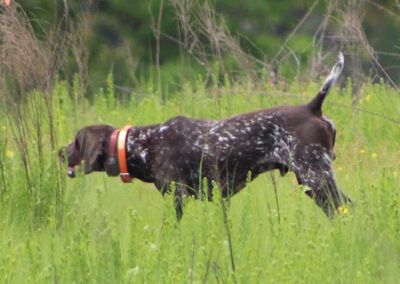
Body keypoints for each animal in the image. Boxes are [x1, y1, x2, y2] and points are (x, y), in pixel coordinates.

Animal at [58, 52, 350, 217]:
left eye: (76, 141)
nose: (60, 152)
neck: (145, 144)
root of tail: (313, 106)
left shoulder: (177, 198)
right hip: (315, 184)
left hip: (317, 178)